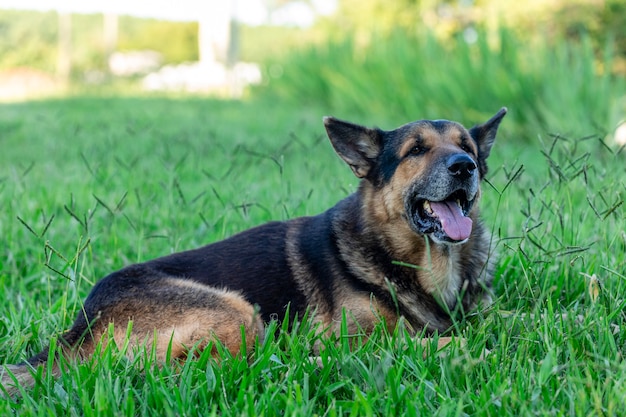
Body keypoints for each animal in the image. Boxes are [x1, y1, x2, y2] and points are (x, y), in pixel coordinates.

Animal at [0, 106, 504, 394]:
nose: (465, 166)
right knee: (227, 370)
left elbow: (506, 317)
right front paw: (462, 348)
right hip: (237, 311)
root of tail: (79, 328)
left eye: (466, 146)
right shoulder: (351, 336)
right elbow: (417, 341)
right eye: (415, 150)